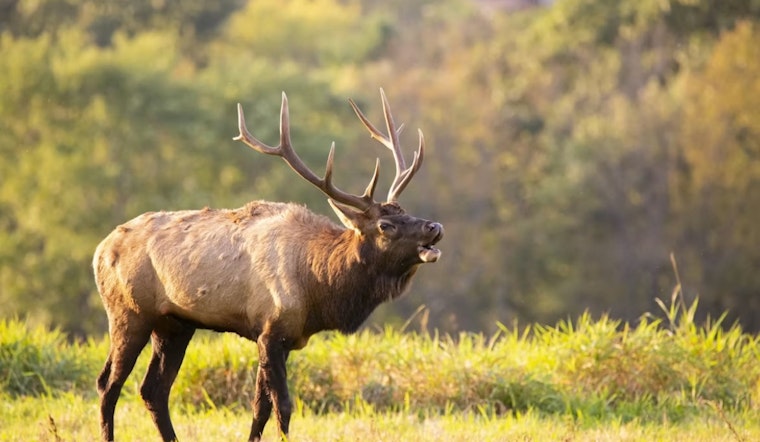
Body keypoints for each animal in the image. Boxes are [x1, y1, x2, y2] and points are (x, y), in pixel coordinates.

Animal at [93, 89, 443, 441]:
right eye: (386, 225)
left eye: (406, 212)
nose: (434, 226)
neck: (318, 287)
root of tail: (99, 250)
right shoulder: (271, 330)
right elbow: (283, 406)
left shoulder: (282, 336)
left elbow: (259, 407)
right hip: (128, 312)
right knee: (108, 384)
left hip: (174, 324)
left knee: (153, 389)